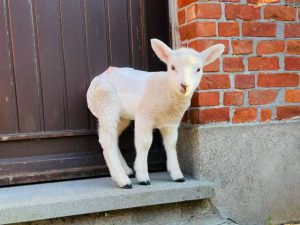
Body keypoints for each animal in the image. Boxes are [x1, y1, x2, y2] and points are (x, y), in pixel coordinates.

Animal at [85, 39, 224, 188]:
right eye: (172, 67)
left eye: (198, 69)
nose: (185, 86)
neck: (166, 89)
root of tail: (98, 78)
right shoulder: (144, 116)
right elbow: (144, 143)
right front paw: (143, 177)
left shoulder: (171, 122)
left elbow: (171, 144)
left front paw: (177, 175)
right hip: (106, 103)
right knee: (107, 140)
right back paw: (123, 180)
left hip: (121, 116)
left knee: (113, 137)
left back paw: (126, 170)